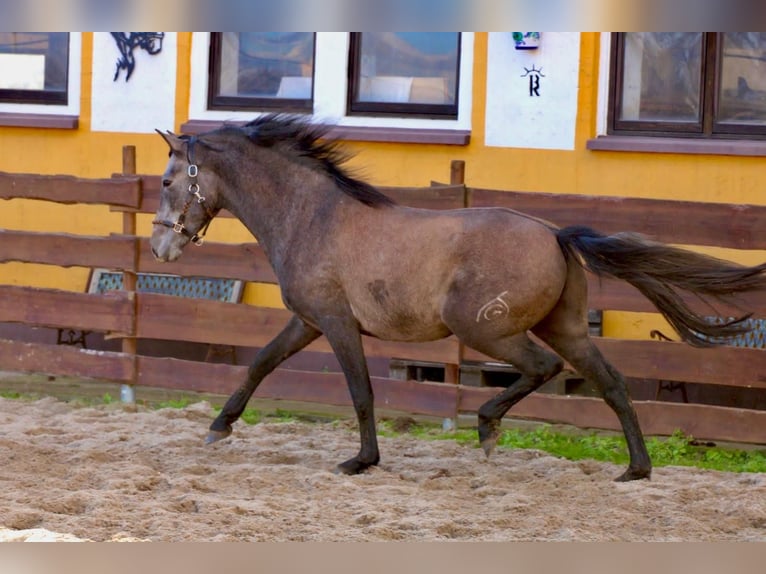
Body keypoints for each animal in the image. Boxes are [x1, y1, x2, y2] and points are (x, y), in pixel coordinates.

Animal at [151, 114, 766, 482]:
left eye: (166, 181)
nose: (160, 246)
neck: (311, 216)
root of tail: (554, 234)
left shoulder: (335, 322)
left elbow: (360, 392)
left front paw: (361, 461)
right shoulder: (307, 321)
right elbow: (259, 364)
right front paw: (218, 428)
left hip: (482, 327)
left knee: (541, 368)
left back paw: (488, 427)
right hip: (563, 327)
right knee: (610, 382)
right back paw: (636, 469)